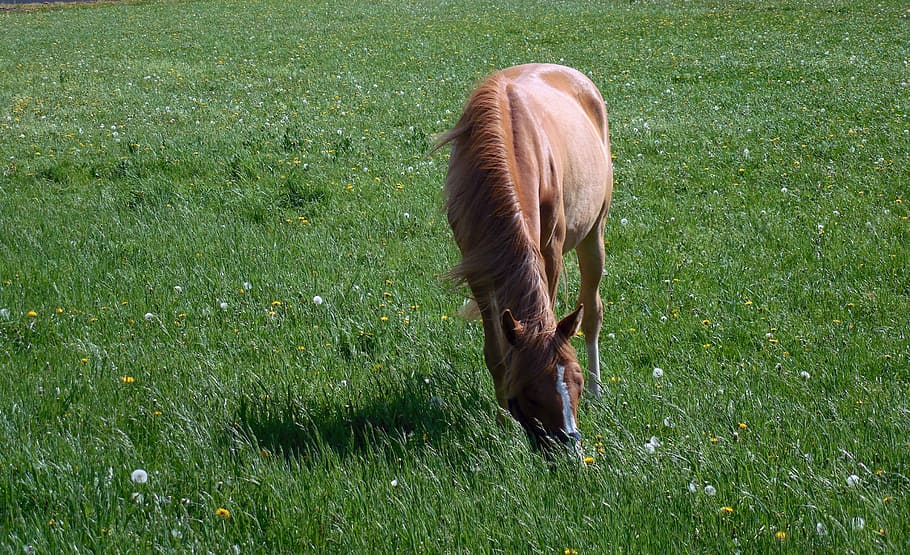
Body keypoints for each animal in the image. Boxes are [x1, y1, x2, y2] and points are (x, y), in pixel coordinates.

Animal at [437, 64, 613, 451]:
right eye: (530, 393)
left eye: (575, 382)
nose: (568, 448)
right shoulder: (480, 266)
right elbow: (496, 353)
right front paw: (503, 421)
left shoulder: (549, 254)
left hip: (594, 233)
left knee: (593, 311)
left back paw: (600, 389)